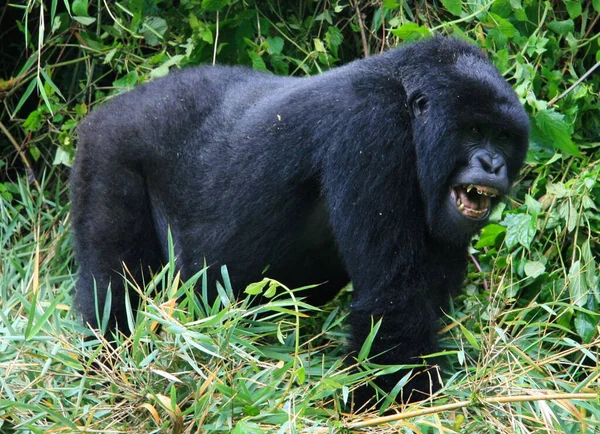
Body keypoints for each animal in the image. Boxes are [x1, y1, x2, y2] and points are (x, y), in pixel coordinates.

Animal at [71, 36, 528, 404]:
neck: (404, 94)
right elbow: (394, 300)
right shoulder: (373, 128)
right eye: (474, 131)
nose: (492, 164)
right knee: (112, 289)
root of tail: (106, 108)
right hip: (109, 149)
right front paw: (398, 405)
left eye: (504, 137)